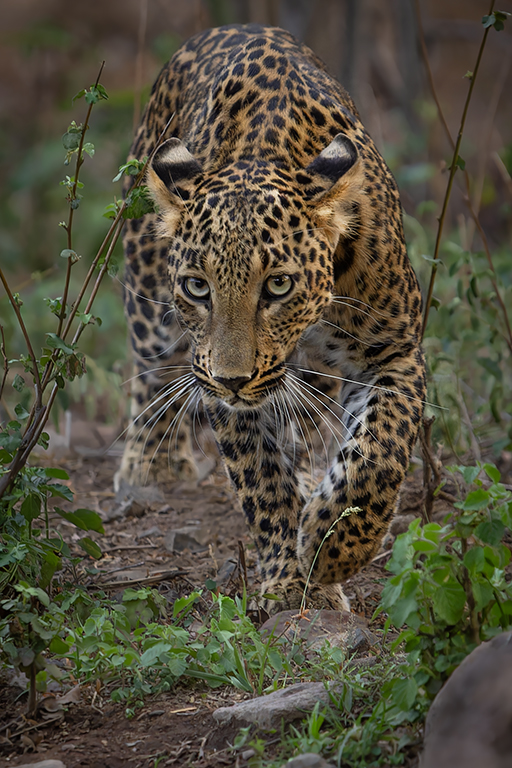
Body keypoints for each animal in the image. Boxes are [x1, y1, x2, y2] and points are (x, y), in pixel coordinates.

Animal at [117, 22, 428, 612]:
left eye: (278, 284)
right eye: (198, 287)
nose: (233, 380)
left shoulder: (396, 352)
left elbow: (379, 451)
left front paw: (335, 548)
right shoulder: (220, 385)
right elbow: (261, 480)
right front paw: (288, 579)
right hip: (145, 289)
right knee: (151, 374)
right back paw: (150, 464)